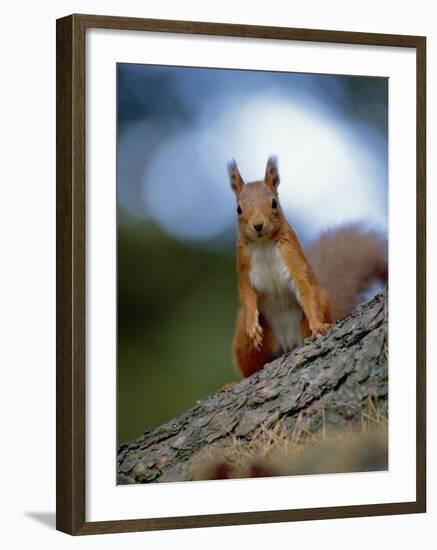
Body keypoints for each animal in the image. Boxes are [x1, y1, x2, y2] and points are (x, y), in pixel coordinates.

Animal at [228, 156, 384, 380]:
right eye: (238, 209)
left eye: (274, 203)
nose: (258, 225)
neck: (263, 244)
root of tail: (287, 343)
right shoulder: (243, 263)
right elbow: (247, 294)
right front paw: (252, 324)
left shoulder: (291, 253)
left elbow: (304, 286)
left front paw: (319, 326)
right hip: (246, 341)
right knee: (251, 367)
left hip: (317, 308)